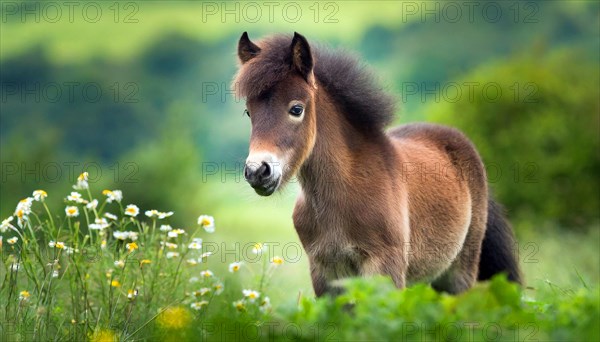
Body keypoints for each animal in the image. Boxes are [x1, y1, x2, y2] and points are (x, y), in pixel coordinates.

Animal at [234, 32, 520, 296]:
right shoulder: (325, 272)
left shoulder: (385, 268)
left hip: (459, 272)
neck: (342, 192)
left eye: (296, 109)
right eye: (249, 112)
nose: (258, 171)